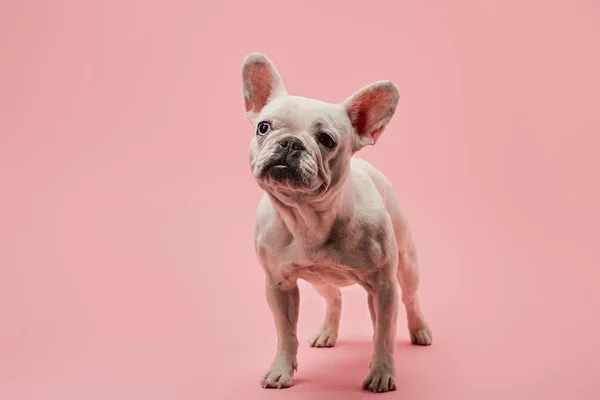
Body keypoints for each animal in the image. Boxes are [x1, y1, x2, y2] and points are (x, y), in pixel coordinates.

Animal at [239, 51, 432, 392]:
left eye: (326, 140)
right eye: (263, 127)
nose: (290, 142)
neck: (308, 217)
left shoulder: (384, 287)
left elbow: (384, 335)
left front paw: (382, 372)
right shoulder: (278, 285)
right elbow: (285, 333)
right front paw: (281, 369)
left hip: (407, 267)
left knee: (410, 299)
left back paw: (419, 329)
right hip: (319, 280)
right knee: (335, 297)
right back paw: (327, 332)